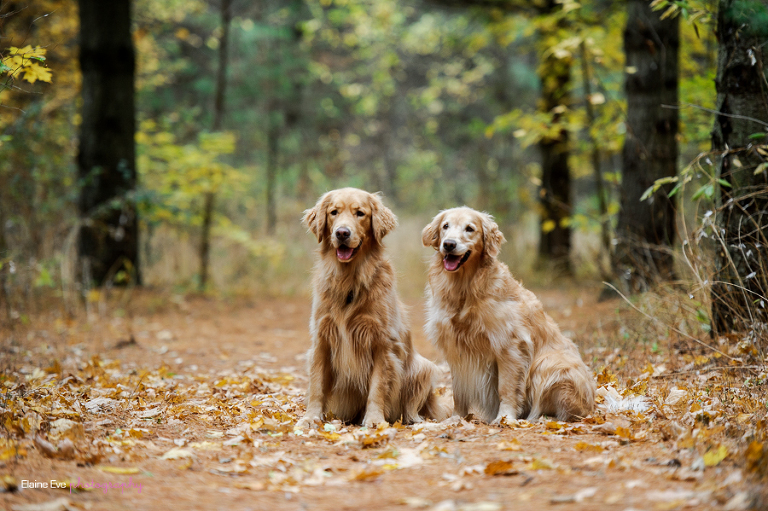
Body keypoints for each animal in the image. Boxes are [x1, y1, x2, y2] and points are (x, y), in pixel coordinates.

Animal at [296, 187, 450, 428]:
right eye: (333, 212)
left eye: (360, 213)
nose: (342, 233)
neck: (349, 280)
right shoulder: (321, 339)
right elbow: (316, 385)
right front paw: (310, 418)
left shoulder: (382, 343)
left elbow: (377, 387)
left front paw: (375, 420)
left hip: (422, 367)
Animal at [420, 208, 592, 424]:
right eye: (445, 226)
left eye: (470, 229)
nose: (449, 244)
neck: (465, 289)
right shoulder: (456, 349)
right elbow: (458, 391)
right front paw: (456, 418)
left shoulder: (510, 346)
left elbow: (506, 387)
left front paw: (505, 418)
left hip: (550, 364)